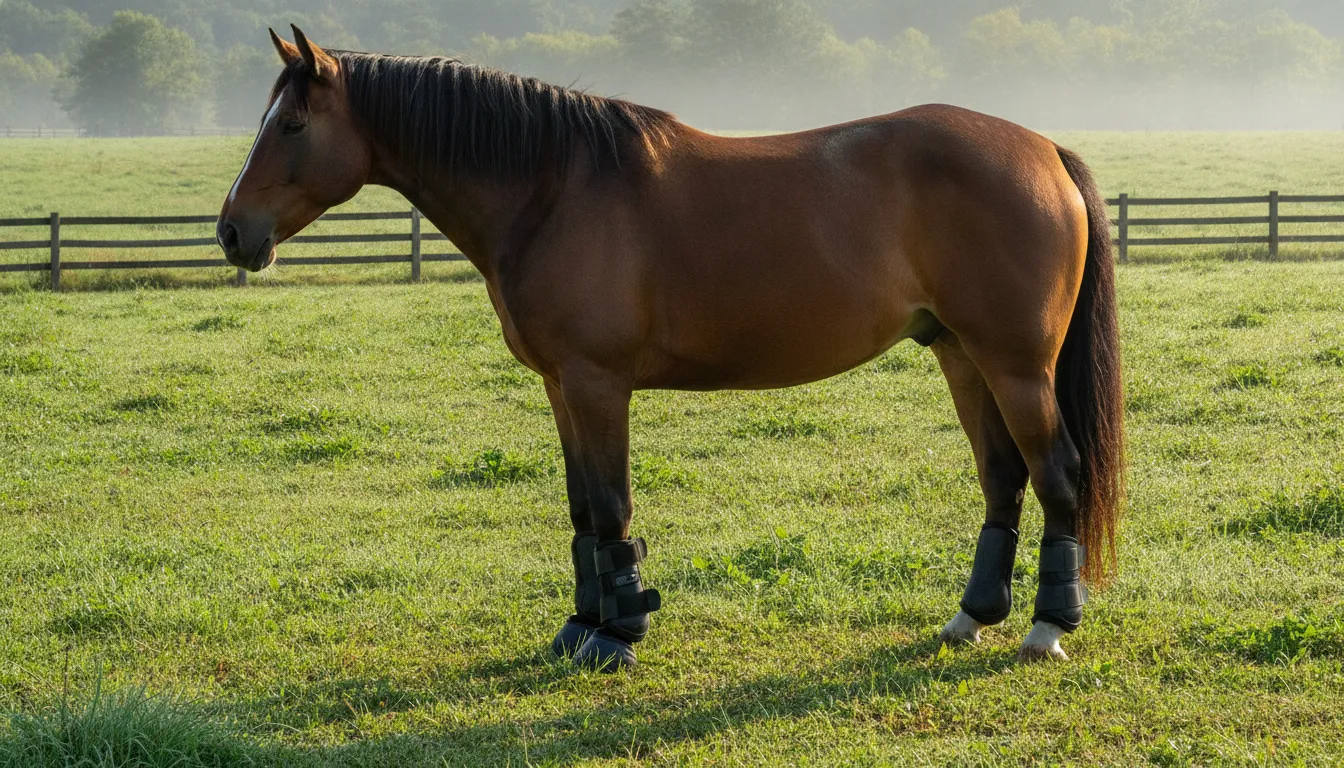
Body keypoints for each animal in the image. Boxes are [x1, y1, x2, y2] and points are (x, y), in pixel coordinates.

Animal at [218, 26, 1125, 671]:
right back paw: (971, 616)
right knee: (1003, 478)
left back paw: (1046, 628)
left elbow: (612, 506)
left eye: (291, 123)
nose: (231, 233)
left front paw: (616, 638)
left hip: (1017, 367)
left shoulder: (596, 385)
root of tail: (1044, 150)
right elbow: (582, 510)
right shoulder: (560, 387)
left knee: (1057, 474)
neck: (552, 188)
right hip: (961, 355)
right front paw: (581, 628)